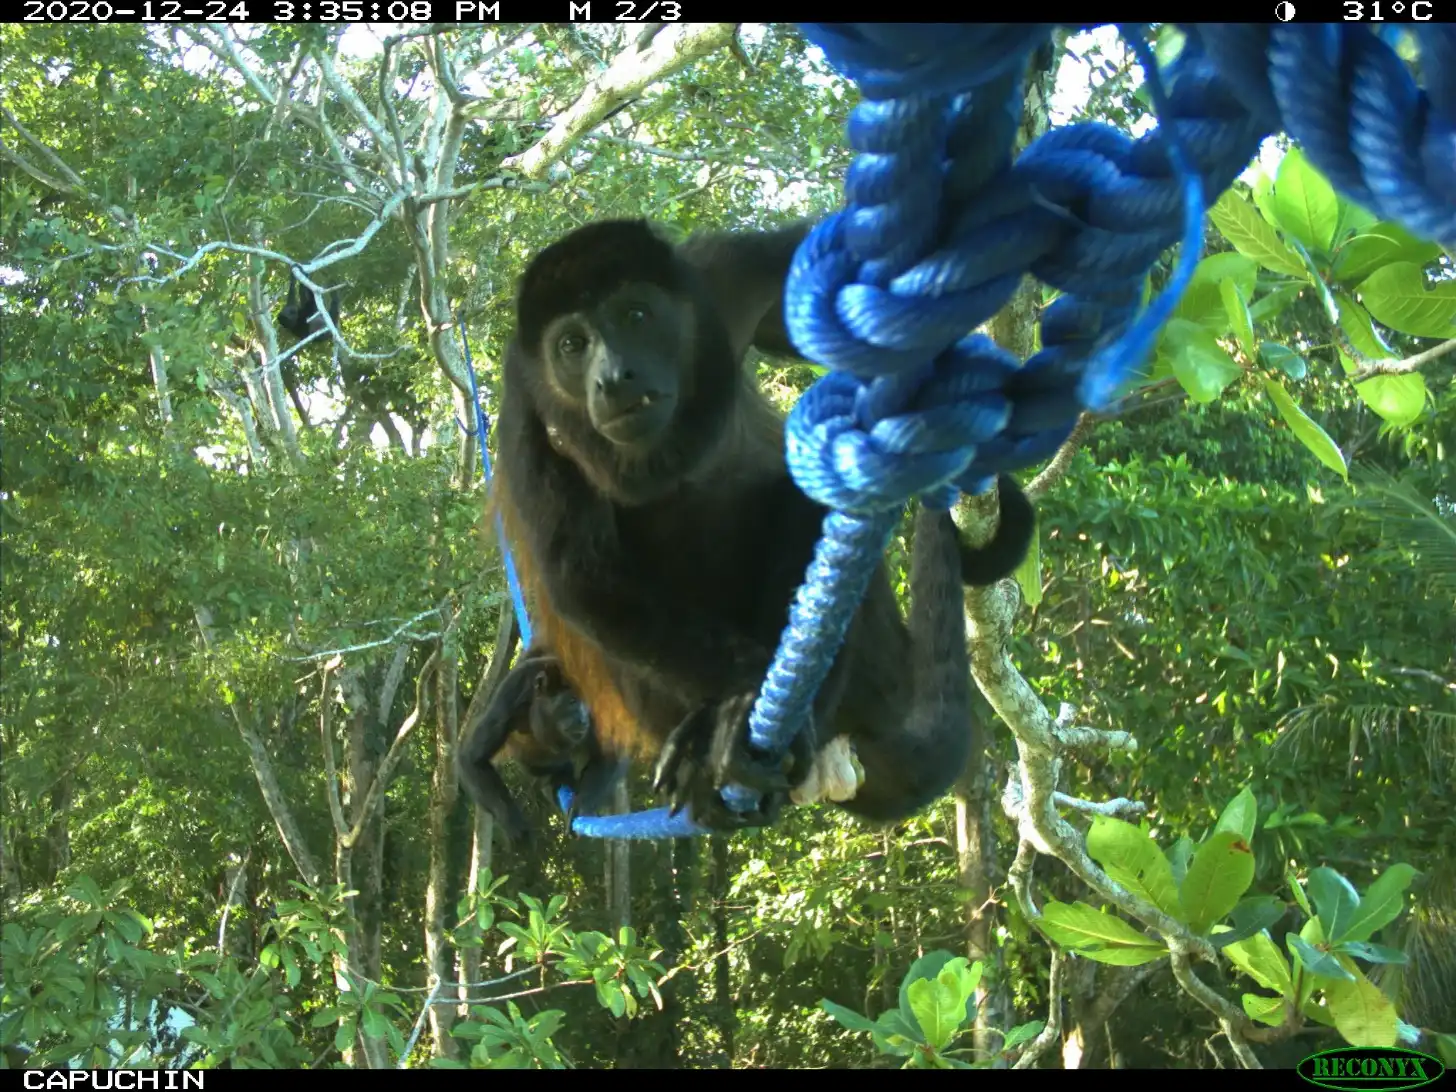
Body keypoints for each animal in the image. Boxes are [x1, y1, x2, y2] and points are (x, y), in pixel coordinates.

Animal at [459, 646, 625, 844]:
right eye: (572, 701)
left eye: (588, 704)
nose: (584, 720)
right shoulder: (513, 691)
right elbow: (473, 759)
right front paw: (514, 824)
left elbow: (609, 756)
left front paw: (581, 807)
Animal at [479, 218, 1037, 832]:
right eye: (571, 346)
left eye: (635, 315)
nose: (613, 378)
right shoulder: (522, 399)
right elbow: (583, 578)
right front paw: (739, 704)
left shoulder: (728, 273)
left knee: (796, 497)